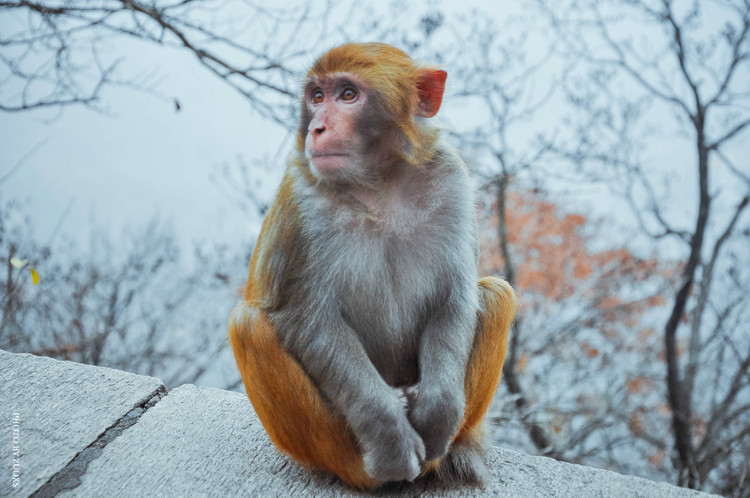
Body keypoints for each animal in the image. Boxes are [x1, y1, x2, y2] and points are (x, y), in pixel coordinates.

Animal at [229, 40, 520, 488]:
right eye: (317, 97)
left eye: (348, 95)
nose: (317, 128)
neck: (378, 184)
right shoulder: (299, 202)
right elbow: (308, 320)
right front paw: (389, 433)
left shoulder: (452, 179)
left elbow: (454, 299)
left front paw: (437, 411)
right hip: (339, 443)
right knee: (248, 325)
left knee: (495, 294)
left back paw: (459, 450)